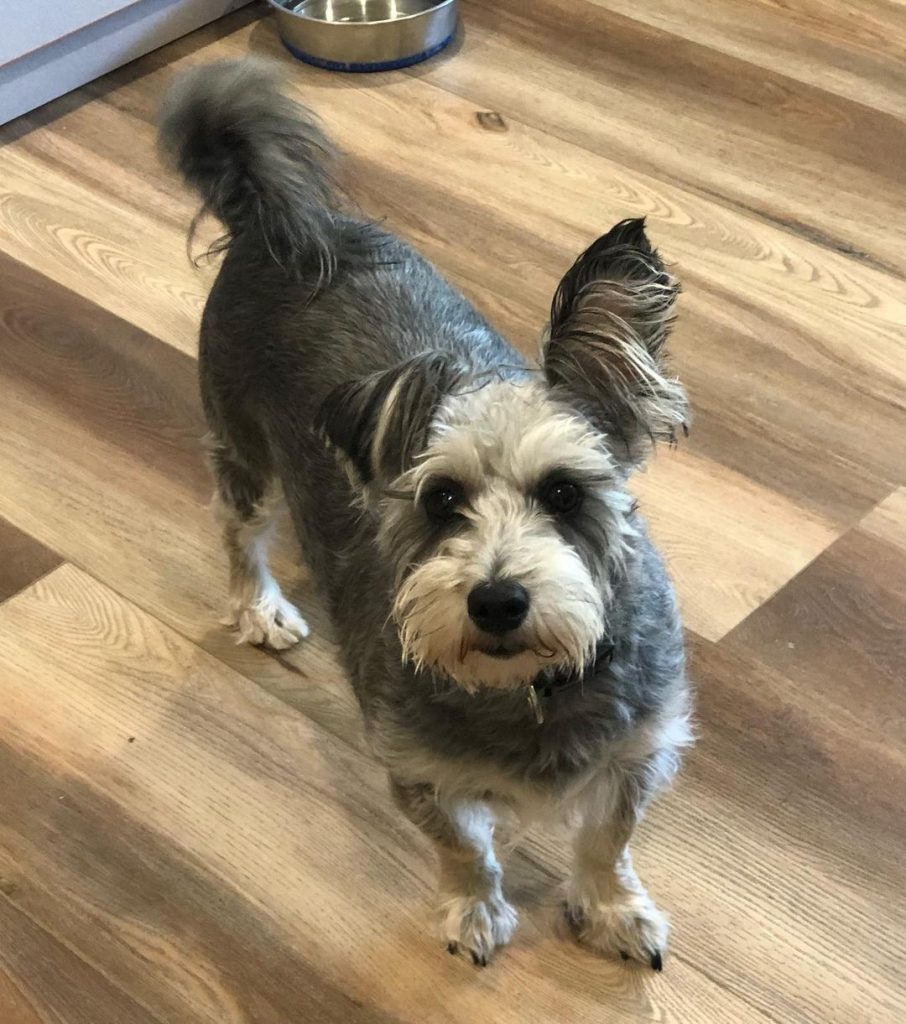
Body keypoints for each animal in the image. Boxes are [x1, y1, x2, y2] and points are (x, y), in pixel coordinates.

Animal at [158, 59, 687, 970]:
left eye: (564, 493)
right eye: (442, 499)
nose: (497, 601)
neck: (529, 687)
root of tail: (277, 229)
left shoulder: (641, 749)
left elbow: (606, 839)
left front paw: (613, 908)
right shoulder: (416, 767)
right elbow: (464, 848)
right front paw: (475, 911)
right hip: (242, 444)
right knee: (238, 528)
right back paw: (259, 606)